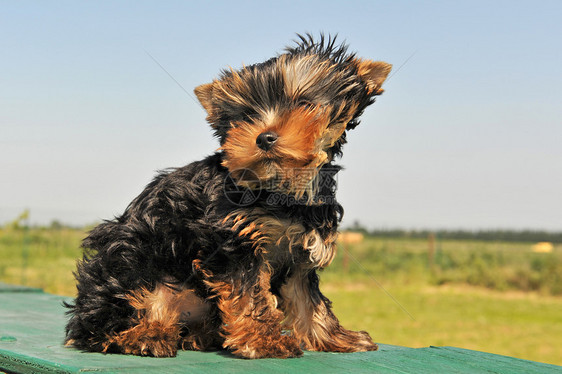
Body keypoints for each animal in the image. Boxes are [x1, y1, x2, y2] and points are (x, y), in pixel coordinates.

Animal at [64, 35, 390, 360]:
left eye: (304, 104)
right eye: (246, 116)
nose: (264, 137)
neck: (281, 187)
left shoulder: (300, 251)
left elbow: (308, 299)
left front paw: (334, 336)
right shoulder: (233, 240)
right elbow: (250, 295)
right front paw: (263, 340)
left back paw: (199, 336)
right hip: (130, 265)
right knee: (118, 315)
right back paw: (147, 334)